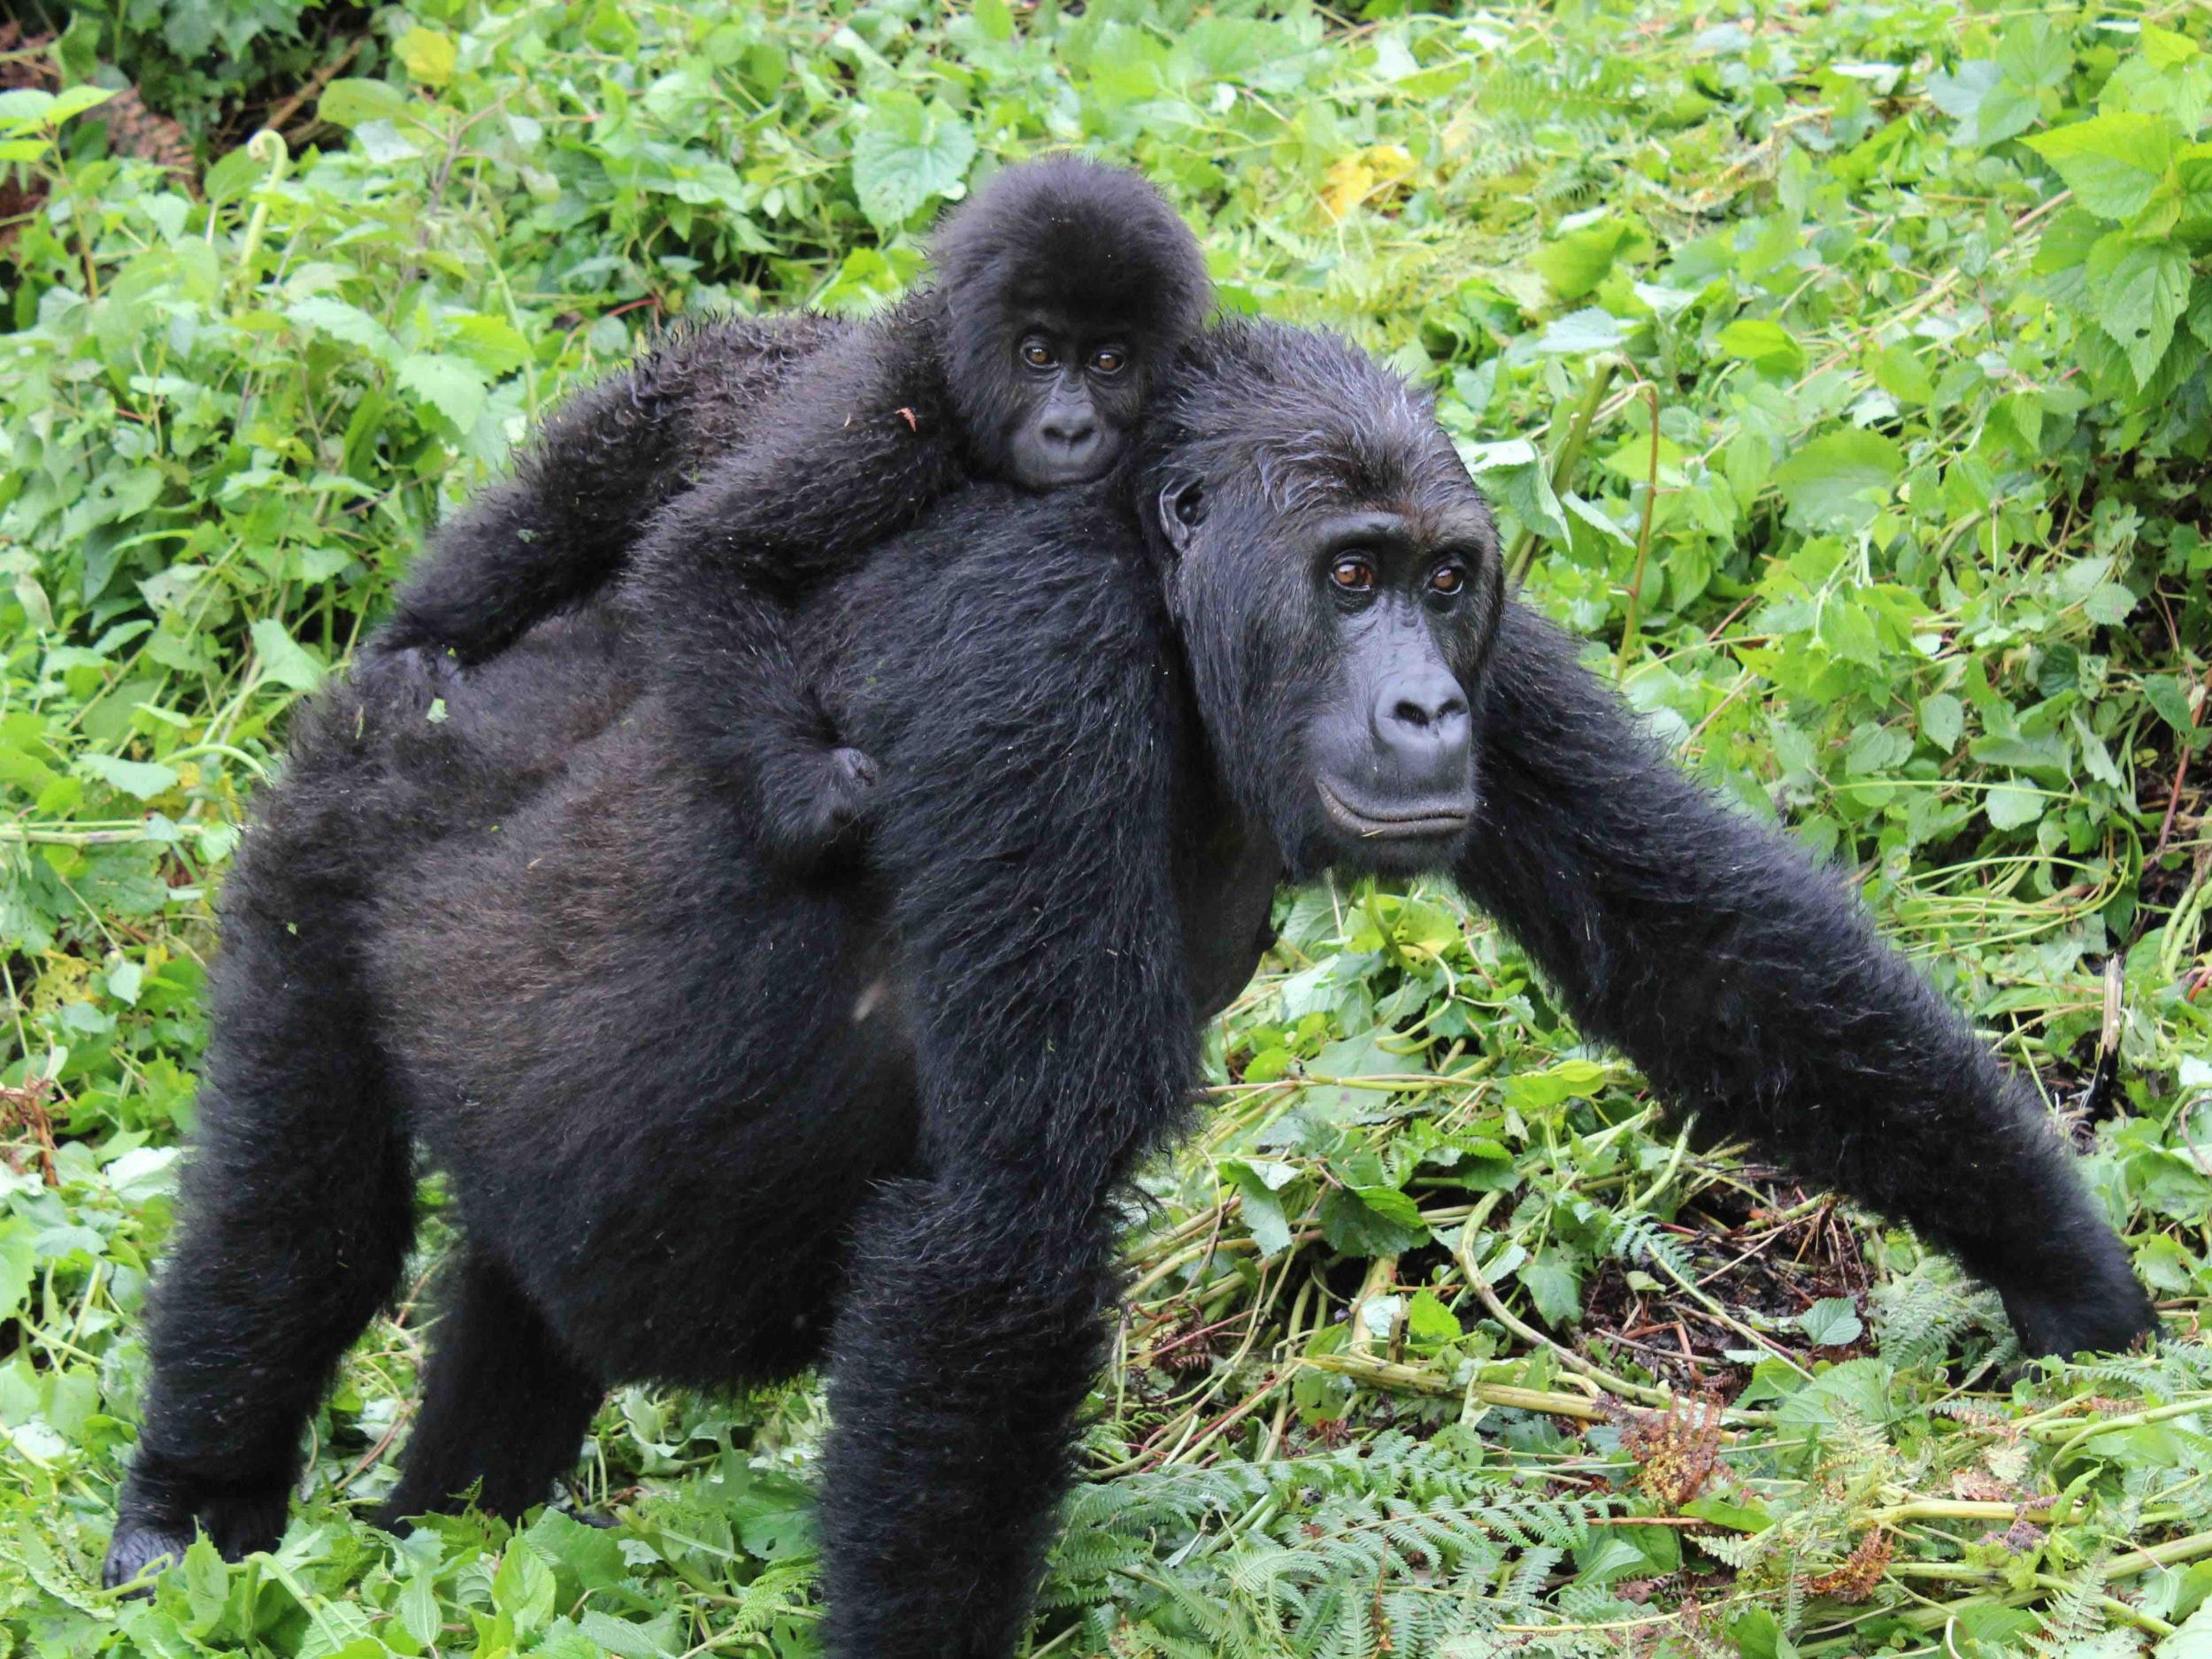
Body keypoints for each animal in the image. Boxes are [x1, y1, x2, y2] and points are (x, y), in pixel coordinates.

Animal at [107, 319, 2159, 1655]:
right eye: (1348, 578)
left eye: (1440, 580)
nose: (1423, 707)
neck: (1171, 589)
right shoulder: (1046, 663)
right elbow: (1006, 1225)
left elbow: (1703, 947)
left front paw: (2082, 1290)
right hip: (334, 825)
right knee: (295, 1209)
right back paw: (183, 1511)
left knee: (517, 1306)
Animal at [380, 157, 1212, 863]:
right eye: (1038, 354)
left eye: (1108, 361)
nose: (1070, 429)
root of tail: (712, 340)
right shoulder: (880, 428)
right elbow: (706, 552)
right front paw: (809, 789)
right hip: (639, 416)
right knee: (542, 526)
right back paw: (413, 644)